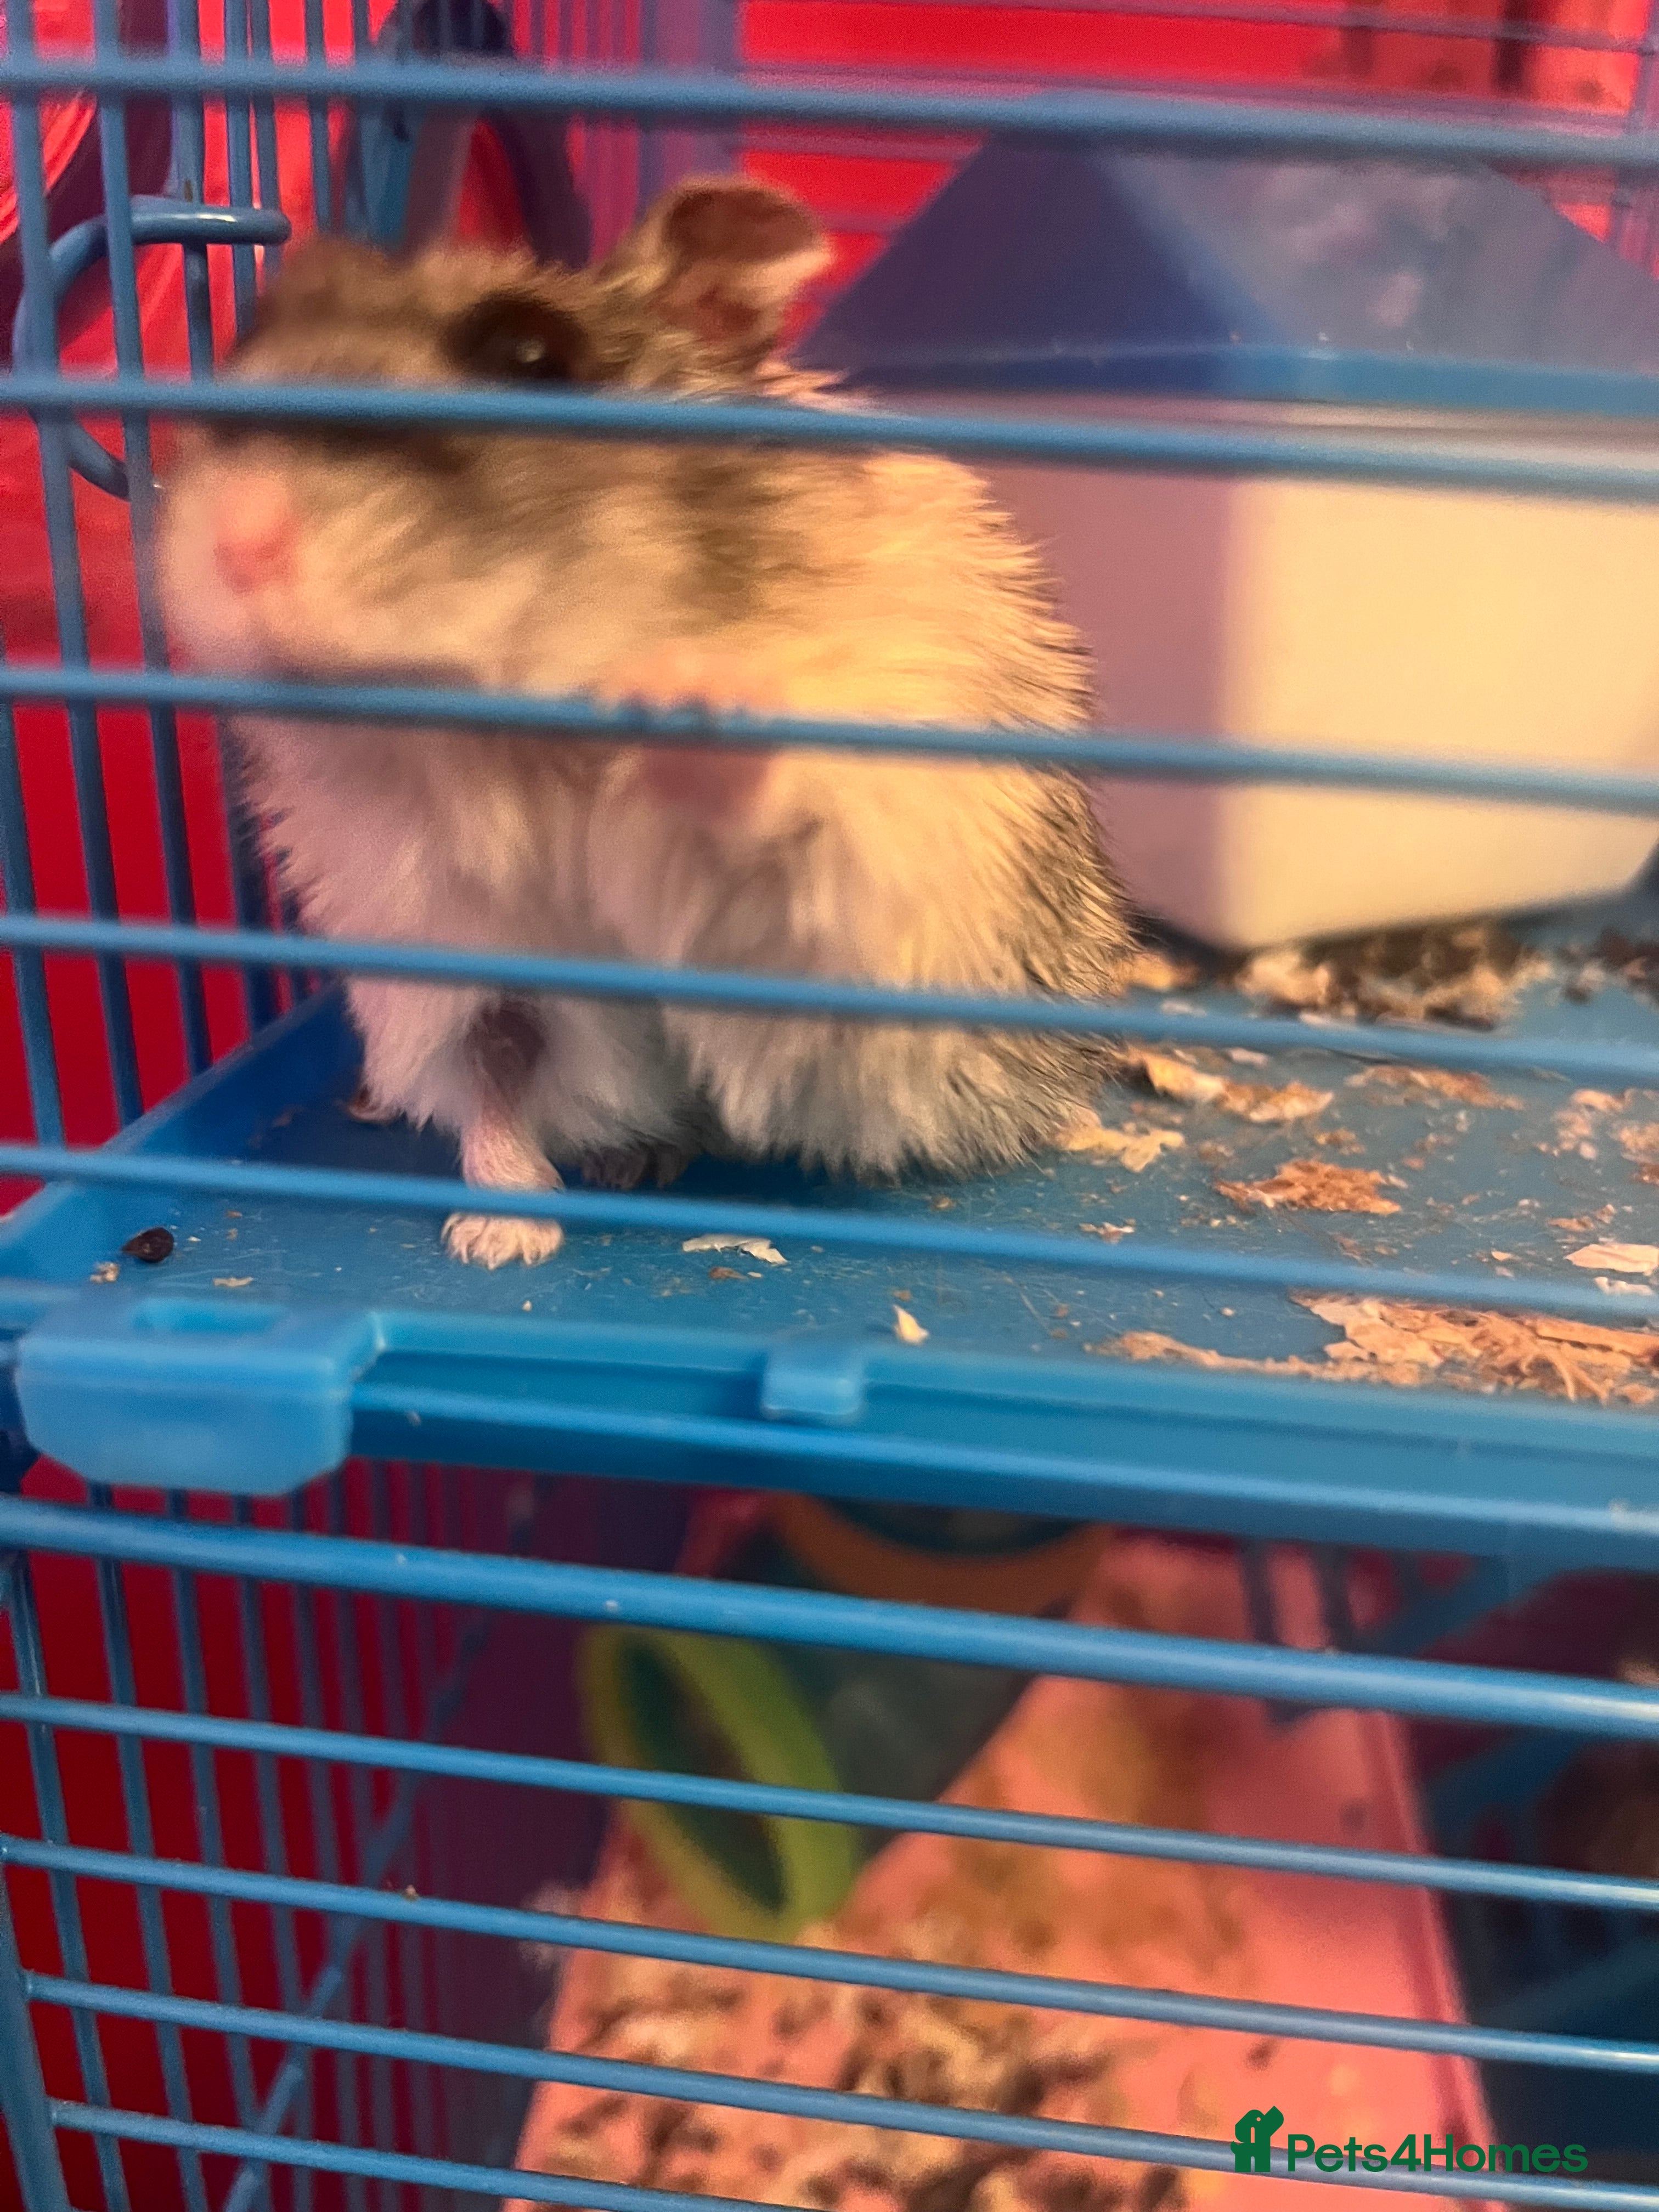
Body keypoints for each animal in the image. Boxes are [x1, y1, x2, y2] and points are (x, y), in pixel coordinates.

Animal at [158, 176, 1134, 1267]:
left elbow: (768, 826)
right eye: (246, 342)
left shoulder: (824, 909)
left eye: (531, 354)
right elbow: (496, 1080)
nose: (236, 541)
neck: (499, 748)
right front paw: (499, 1240)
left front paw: (680, 695)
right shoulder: (457, 966)